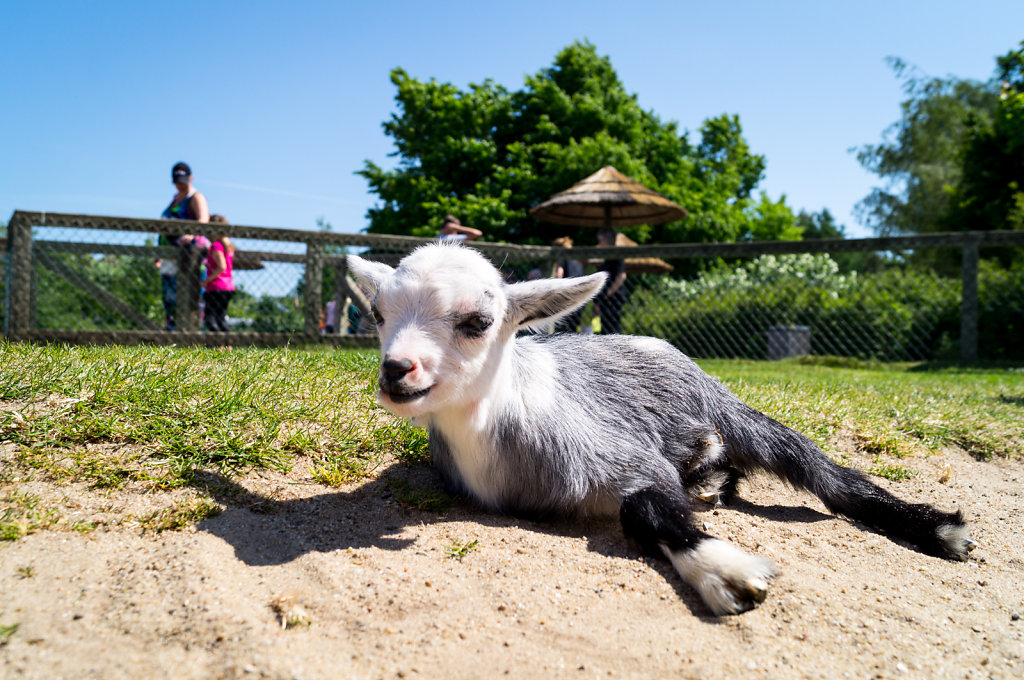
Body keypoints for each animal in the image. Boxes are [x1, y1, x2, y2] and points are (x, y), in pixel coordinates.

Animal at [350, 244, 974, 614]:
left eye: (478, 322)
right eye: (378, 314)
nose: (397, 370)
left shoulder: (625, 458)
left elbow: (643, 507)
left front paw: (723, 569)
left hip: (729, 409)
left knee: (827, 474)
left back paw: (937, 527)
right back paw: (709, 478)